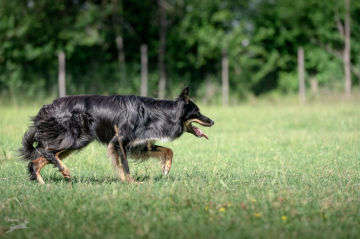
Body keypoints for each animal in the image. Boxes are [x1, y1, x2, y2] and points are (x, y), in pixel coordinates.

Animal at [19, 87, 214, 184]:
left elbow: (169, 151)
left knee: (37, 160)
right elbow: (125, 165)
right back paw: (64, 171)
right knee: (47, 151)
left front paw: (166, 167)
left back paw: (43, 183)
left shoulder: (139, 145)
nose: (212, 121)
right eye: (197, 112)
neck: (159, 113)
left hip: (71, 142)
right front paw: (131, 182)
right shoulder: (119, 141)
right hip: (77, 139)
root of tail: (48, 107)